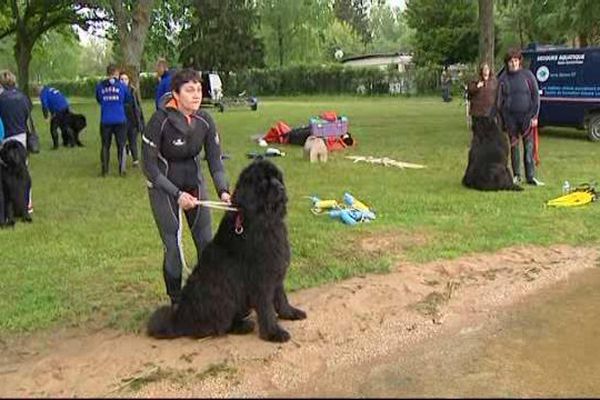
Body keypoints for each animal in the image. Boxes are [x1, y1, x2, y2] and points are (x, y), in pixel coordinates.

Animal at [148, 158, 308, 342]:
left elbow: (281, 297)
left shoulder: (275, 268)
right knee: (216, 326)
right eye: (264, 180)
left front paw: (290, 313)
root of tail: (179, 319)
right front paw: (274, 333)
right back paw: (243, 326)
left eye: (277, 177)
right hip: (222, 294)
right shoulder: (261, 276)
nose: (281, 188)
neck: (263, 220)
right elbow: (266, 307)